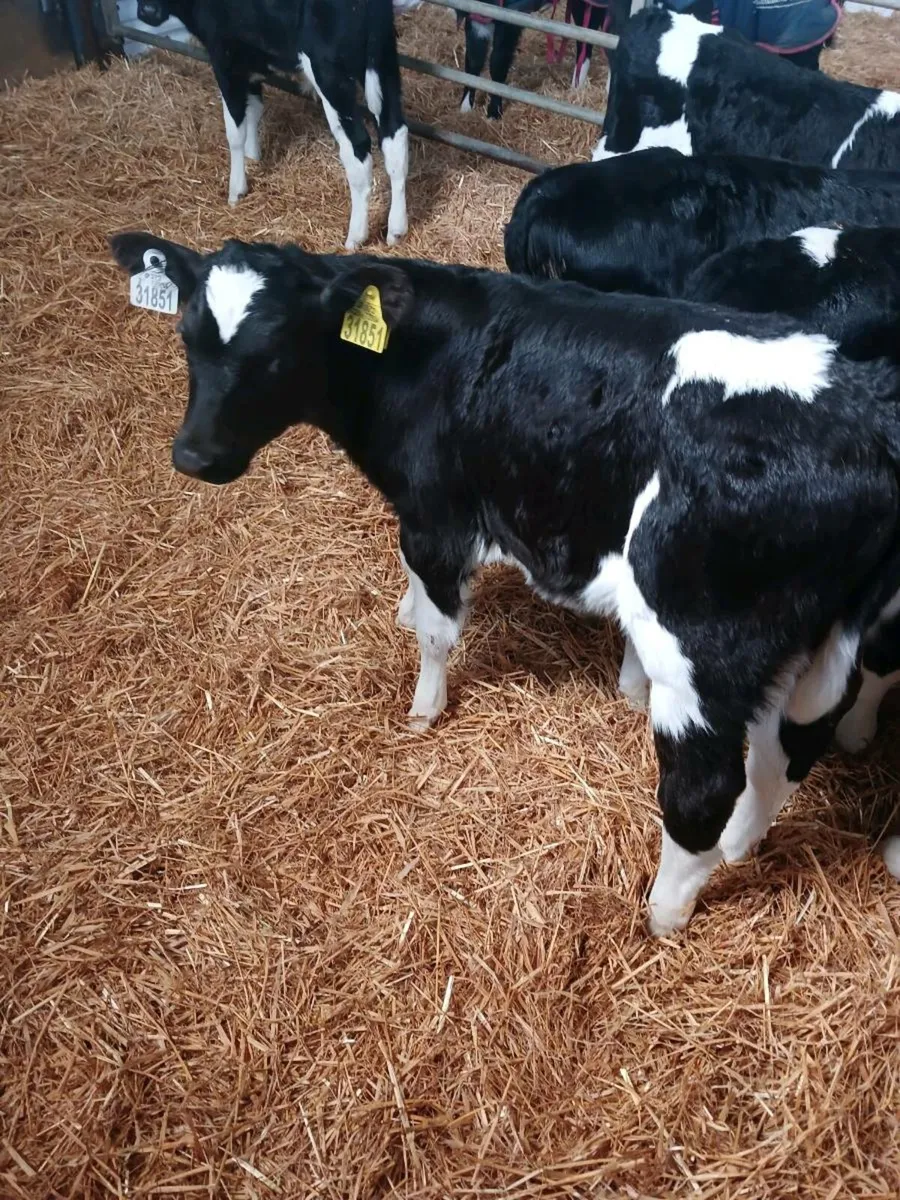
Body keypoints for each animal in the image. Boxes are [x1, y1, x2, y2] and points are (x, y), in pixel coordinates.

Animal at [109, 229, 900, 935]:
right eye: (187, 337)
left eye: (274, 352)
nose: (194, 456)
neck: (414, 358)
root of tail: (867, 418)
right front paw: (403, 612)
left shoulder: (436, 514)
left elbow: (438, 629)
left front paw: (424, 708)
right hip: (810, 640)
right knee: (787, 749)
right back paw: (740, 845)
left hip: (705, 642)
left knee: (706, 786)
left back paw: (664, 913)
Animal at [134, 1, 409, 250]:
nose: (146, 12)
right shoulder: (249, 62)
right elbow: (254, 110)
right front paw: (254, 157)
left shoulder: (224, 58)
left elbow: (234, 129)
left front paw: (236, 189)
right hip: (384, 60)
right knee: (395, 135)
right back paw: (396, 229)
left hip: (330, 73)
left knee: (358, 148)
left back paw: (355, 236)